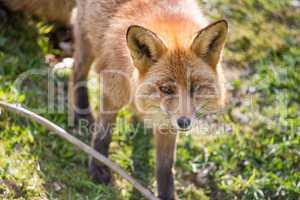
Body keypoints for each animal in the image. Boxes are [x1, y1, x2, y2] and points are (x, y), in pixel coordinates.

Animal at [1, 0, 227, 199]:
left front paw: (166, 195)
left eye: (195, 88)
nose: (184, 122)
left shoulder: (167, 121)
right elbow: (104, 133)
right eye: (166, 89)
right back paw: (82, 111)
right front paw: (98, 166)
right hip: (86, 38)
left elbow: (165, 167)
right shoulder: (113, 91)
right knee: (77, 72)